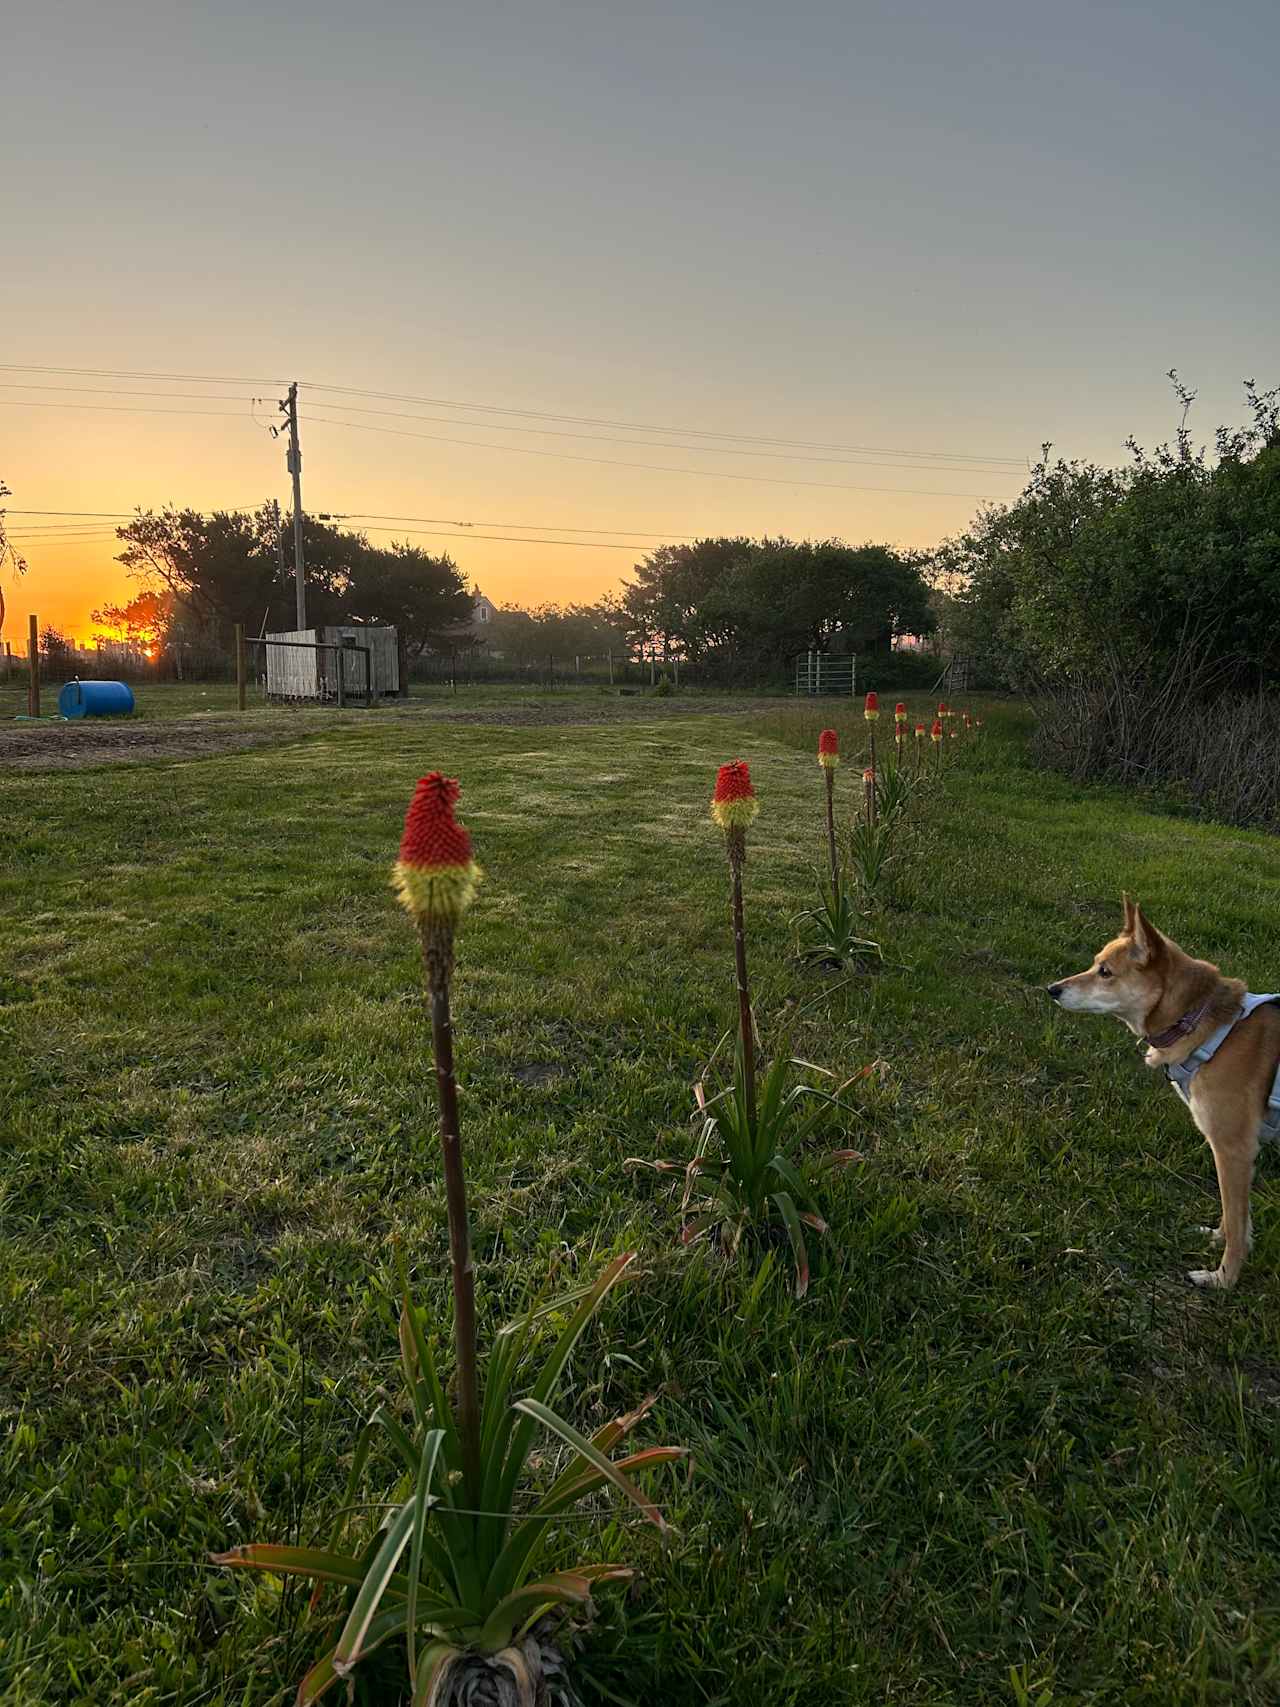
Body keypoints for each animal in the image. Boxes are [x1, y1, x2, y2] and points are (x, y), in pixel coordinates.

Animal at [1051, 901, 1280, 1283]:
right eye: (1095, 963)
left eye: (1105, 972)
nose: (1052, 988)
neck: (1200, 1022)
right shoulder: (1236, 1154)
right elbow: (1234, 1215)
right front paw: (1215, 1238)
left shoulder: (1233, 1147)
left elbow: (1236, 1221)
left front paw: (1223, 1279)